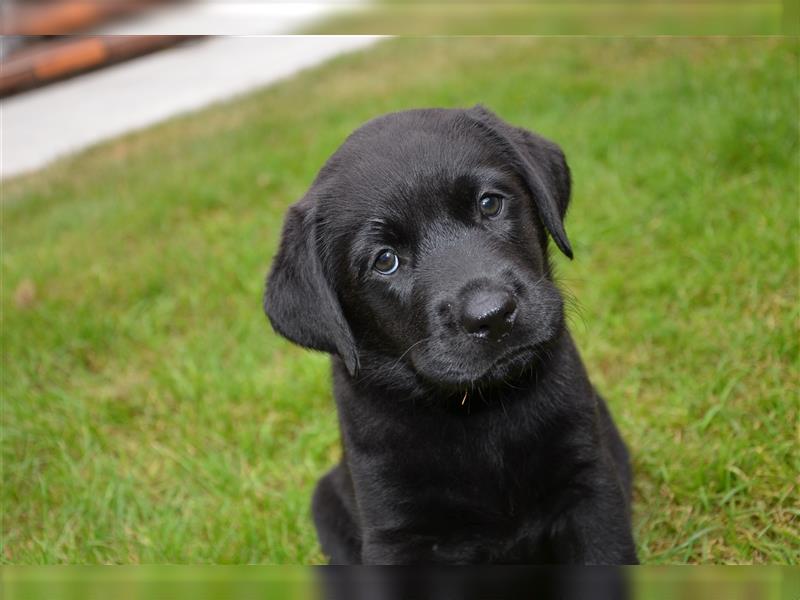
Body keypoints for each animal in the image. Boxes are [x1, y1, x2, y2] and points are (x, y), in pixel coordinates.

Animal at [266, 106, 640, 564]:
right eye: (385, 261)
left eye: (490, 203)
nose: (492, 316)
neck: (482, 410)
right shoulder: (396, 531)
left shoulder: (589, 484)